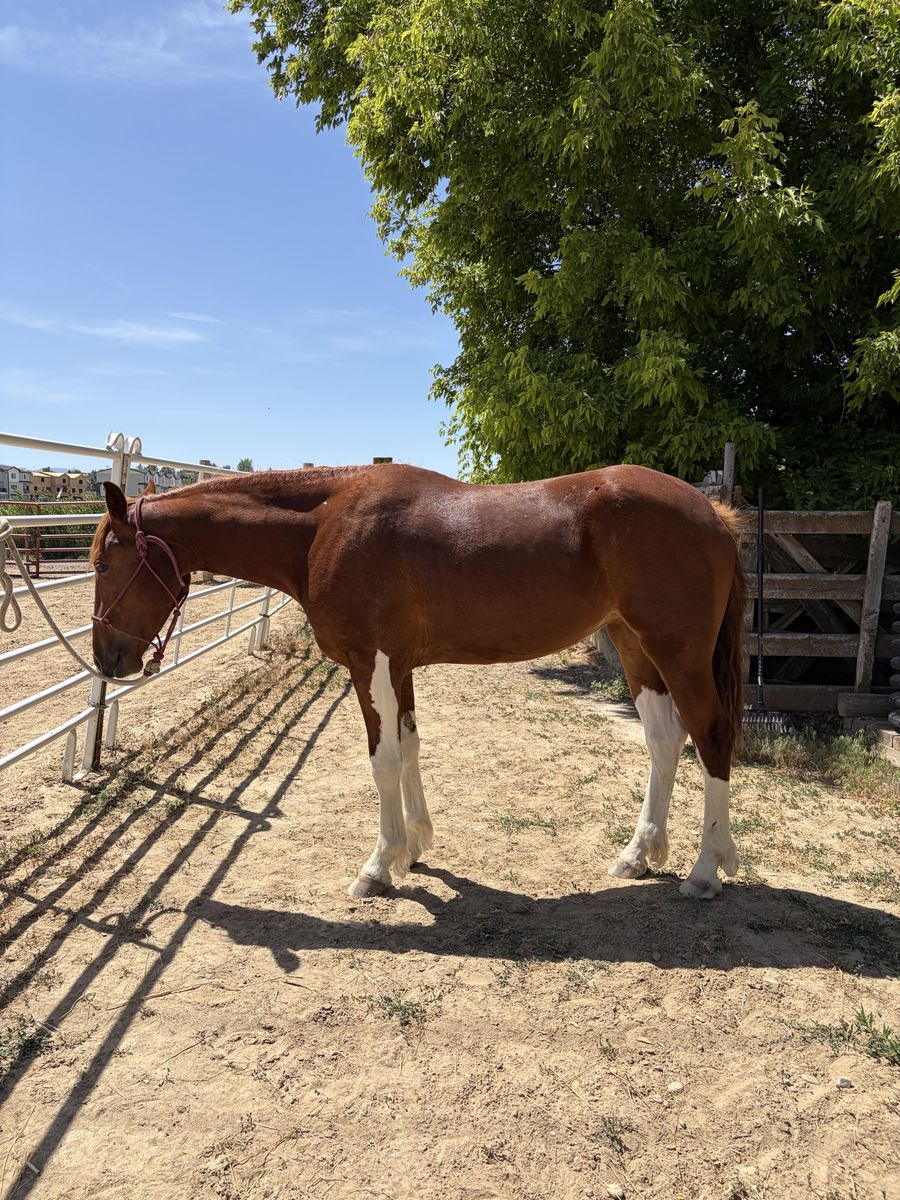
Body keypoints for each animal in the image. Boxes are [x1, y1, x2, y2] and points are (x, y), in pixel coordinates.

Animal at [90, 463, 746, 901]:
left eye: (103, 562)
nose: (107, 658)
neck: (323, 526)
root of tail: (712, 512)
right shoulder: (399, 667)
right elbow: (408, 748)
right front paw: (417, 846)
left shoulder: (370, 662)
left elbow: (382, 759)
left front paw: (380, 865)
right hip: (636, 647)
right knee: (664, 741)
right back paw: (638, 855)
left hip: (678, 653)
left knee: (711, 735)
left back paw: (706, 870)